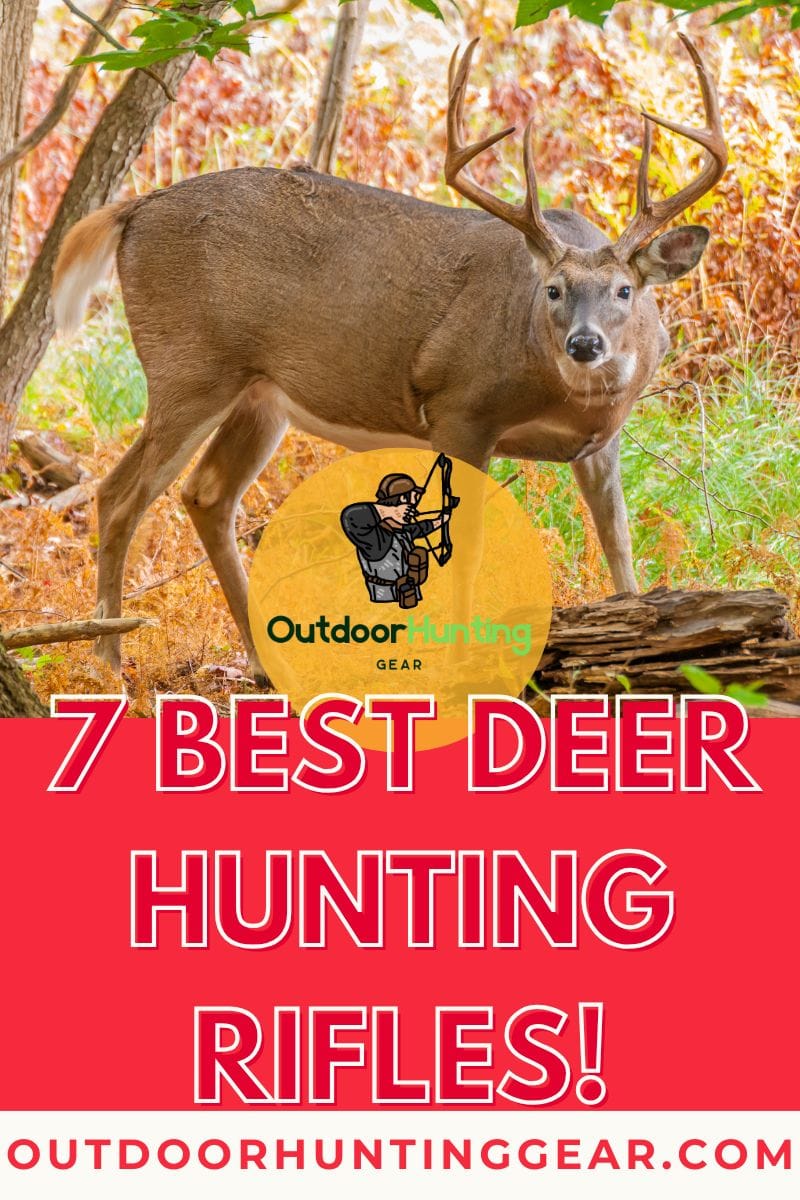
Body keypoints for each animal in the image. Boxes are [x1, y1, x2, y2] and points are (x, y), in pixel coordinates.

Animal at [51, 34, 726, 685]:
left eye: (625, 290)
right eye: (554, 290)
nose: (585, 345)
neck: (566, 395)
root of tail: (133, 208)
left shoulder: (600, 444)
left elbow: (618, 541)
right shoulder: (460, 410)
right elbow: (468, 547)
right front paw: (458, 663)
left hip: (259, 395)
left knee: (207, 493)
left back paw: (264, 664)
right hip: (189, 366)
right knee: (118, 493)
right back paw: (108, 659)